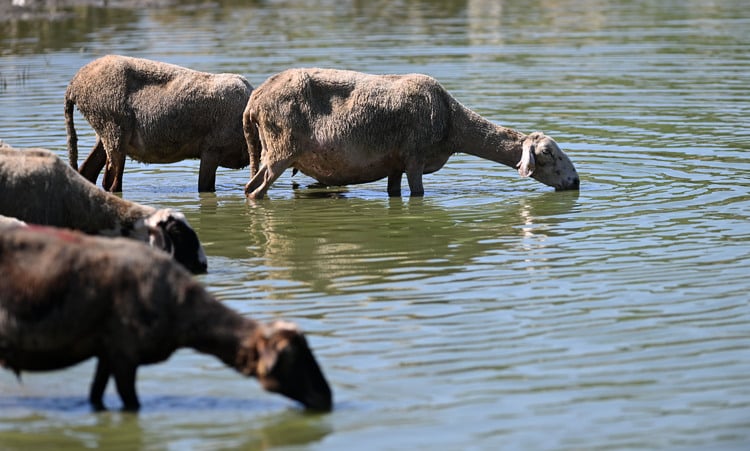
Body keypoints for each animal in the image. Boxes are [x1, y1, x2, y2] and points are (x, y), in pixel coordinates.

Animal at [0, 226, 334, 414]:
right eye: (294, 359)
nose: (327, 398)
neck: (184, 312)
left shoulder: (107, 353)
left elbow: (96, 397)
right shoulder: (124, 354)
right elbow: (131, 404)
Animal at [65, 54, 253, 192]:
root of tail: (73, 86)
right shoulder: (211, 151)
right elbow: (205, 188)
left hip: (104, 133)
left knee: (87, 172)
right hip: (113, 129)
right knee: (111, 183)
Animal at [245, 67, 580, 200]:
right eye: (548, 153)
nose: (576, 182)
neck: (452, 124)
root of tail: (254, 101)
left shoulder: (395, 164)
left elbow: (394, 193)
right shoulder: (415, 157)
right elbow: (418, 194)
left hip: (268, 151)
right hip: (281, 149)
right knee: (254, 191)